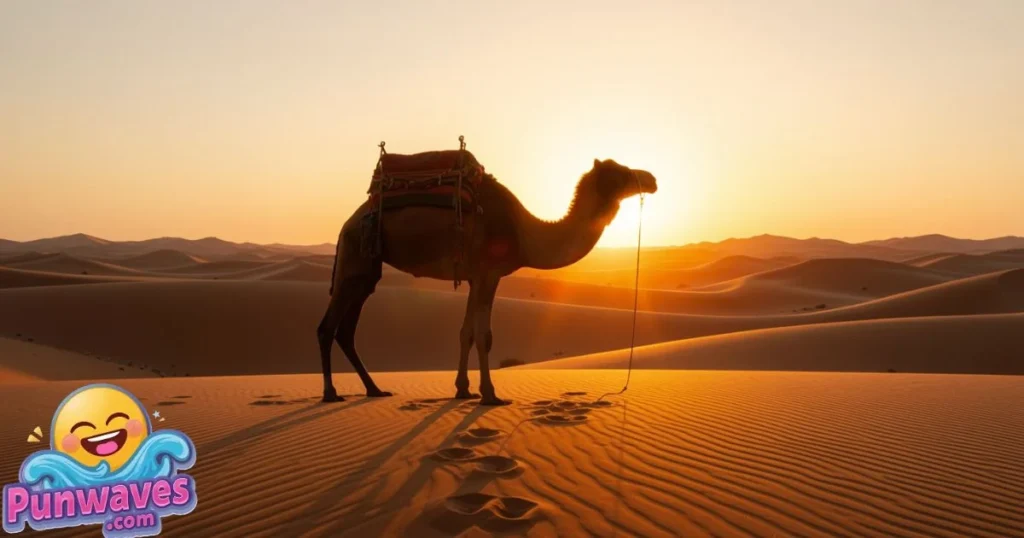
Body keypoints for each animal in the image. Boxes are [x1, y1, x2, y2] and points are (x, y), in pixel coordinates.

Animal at [318, 155, 657, 405]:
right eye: (621, 174)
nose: (652, 179)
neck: (524, 234)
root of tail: (346, 223)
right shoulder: (488, 273)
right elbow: (484, 335)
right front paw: (490, 395)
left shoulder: (473, 278)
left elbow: (465, 332)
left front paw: (463, 389)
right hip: (354, 260)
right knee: (327, 327)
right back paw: (331, 393)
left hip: (366, 270)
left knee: (346, 330)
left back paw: (374, 389)